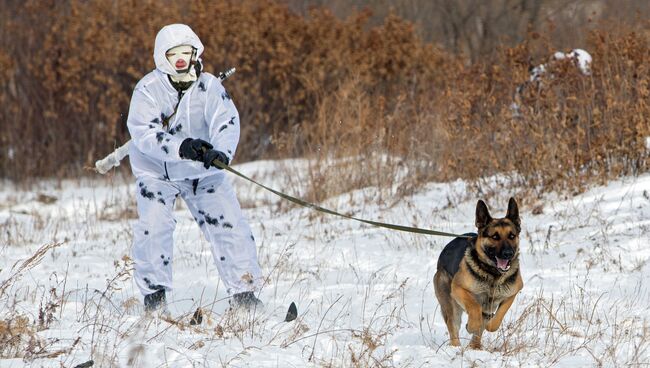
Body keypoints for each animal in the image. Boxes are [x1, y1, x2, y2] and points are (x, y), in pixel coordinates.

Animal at [432, 197, 524, 350]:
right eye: (495, 237)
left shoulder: (511, 294)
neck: (493, 274)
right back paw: (456, 346)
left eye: (512, 236)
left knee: (481, 323)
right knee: (453, 325)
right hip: (450, 304)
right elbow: (474, 306)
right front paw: (471, 325)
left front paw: (489, 326)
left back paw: (474, 345)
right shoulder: (458, 289)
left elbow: (498, 317)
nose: (508, 254)